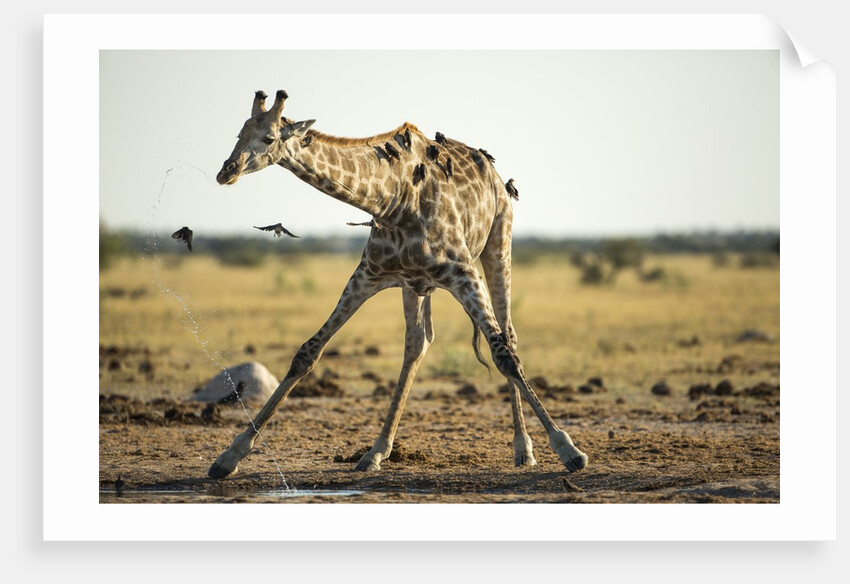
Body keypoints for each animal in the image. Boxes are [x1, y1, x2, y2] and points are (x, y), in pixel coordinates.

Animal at [208, 89, 588, 478]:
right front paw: (230, 455)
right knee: (418, 343)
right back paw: (376, 451)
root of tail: (495, 174)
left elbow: (504, 356)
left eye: (268, 138)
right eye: (239, 132)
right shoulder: (367, 275)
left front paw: (568, 449)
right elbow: (307, 353)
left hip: (499, 243)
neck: (391, 201)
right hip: (415, 285)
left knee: (508, 336)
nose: (227, 171)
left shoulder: (462, 272)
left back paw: (523, 448)